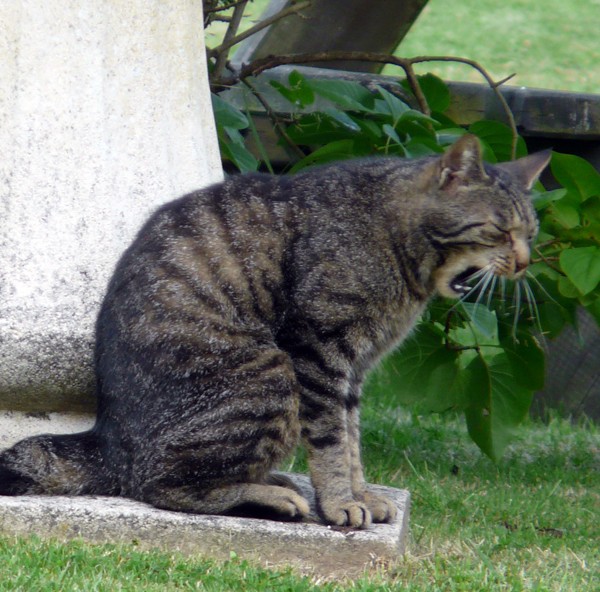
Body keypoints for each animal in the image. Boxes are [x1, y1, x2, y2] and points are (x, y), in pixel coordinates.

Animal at [0, 136, 552, 528]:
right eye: (500, 231)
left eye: (530, 233)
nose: (525, 264)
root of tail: (109, 439)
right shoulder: (320, 348)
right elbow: (331, 441)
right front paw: (340, 503)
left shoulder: (354, 370)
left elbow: (351, 439)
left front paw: (362, 494)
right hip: (269, 372)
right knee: (158, 486)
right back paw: (272, 496)